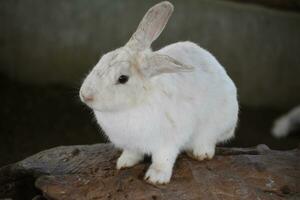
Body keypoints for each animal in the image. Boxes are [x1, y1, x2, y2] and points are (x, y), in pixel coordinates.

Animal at [79, 1, 239, 184]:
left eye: (122, 78)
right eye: (102, 58)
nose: (85, 95)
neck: (134, 104)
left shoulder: (168, 142)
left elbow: (164, 159)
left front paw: (156, 178)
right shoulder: (131, 144)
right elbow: (132, 153)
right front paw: (123, 163)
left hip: (217, 123)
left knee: (209, 139)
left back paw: (201, 153)